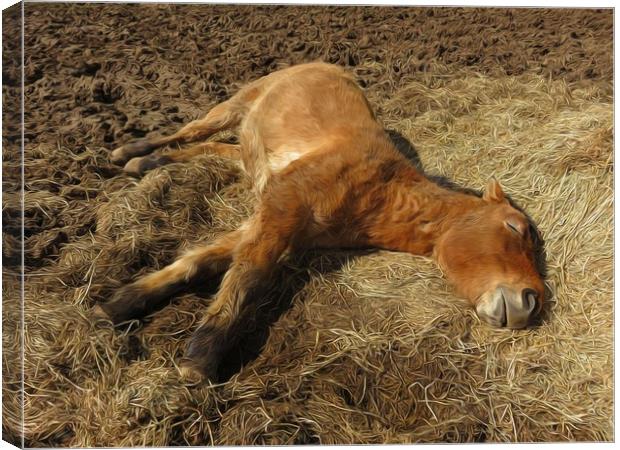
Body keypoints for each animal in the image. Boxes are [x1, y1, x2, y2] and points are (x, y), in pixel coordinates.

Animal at [94, 61, 544, 382]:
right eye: (514, 227)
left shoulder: (275, 222)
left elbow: (199, 260)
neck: (379, 189)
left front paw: (120, 303)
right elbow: (247, 276)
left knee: (217, 149)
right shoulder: (281, 210)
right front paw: (201, 359)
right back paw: (132, 152)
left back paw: (148, 163)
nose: (530, 302)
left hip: (247, 145)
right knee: (192, 131)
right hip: (233, 106)